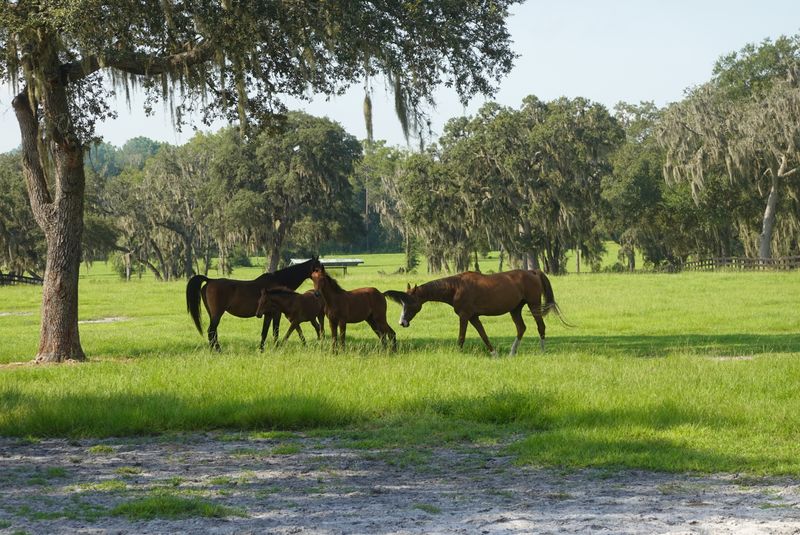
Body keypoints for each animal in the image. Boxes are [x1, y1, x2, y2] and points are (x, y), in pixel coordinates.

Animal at [186, 256, 322, 351]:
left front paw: (262, 349)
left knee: (213, 332)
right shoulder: (275, 313)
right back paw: (217, 351)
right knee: (211, 331)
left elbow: (265, 332)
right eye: (319, 268)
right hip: (217, 314)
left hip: (213, 314)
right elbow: (275, 331)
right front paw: (275, 347)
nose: (324, 278)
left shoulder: (268, 314)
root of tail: (210, 280)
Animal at [384, 269, 568, 356]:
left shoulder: (465, 316)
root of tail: (532, 271)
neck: (456, 288)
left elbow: (461, 337)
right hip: (515, 309)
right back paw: (511, 353)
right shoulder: (473, 317)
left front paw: (458, 354)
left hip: (533, 304)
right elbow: (484, 336)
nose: (402, 322)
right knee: (521, 328)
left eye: (411, 303)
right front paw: (494, 354)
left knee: (541, 327)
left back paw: (542, 352)